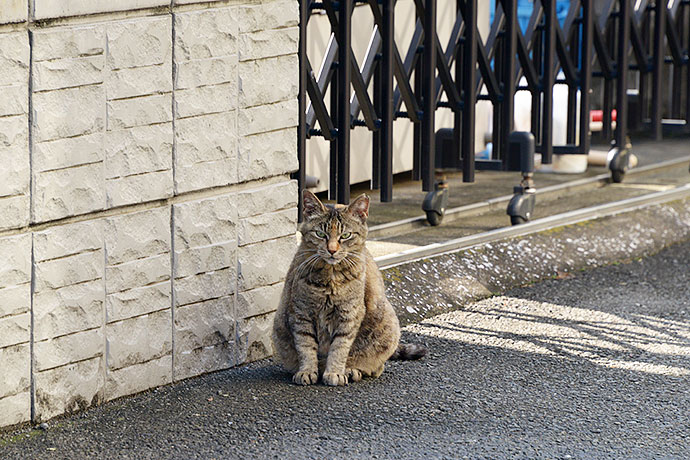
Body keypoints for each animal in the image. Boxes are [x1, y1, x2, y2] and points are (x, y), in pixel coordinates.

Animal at [270, 189, 422, 386]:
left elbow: (340, 347)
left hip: (387, 327)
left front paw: (335, 372)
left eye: (345, 236)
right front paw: (307, 371)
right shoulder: (301, 313)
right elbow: (306, 346)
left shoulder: (349, 314)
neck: (330, 278)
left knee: (375, 366)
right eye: (320, 234)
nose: (332, 250)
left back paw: (352, 370)